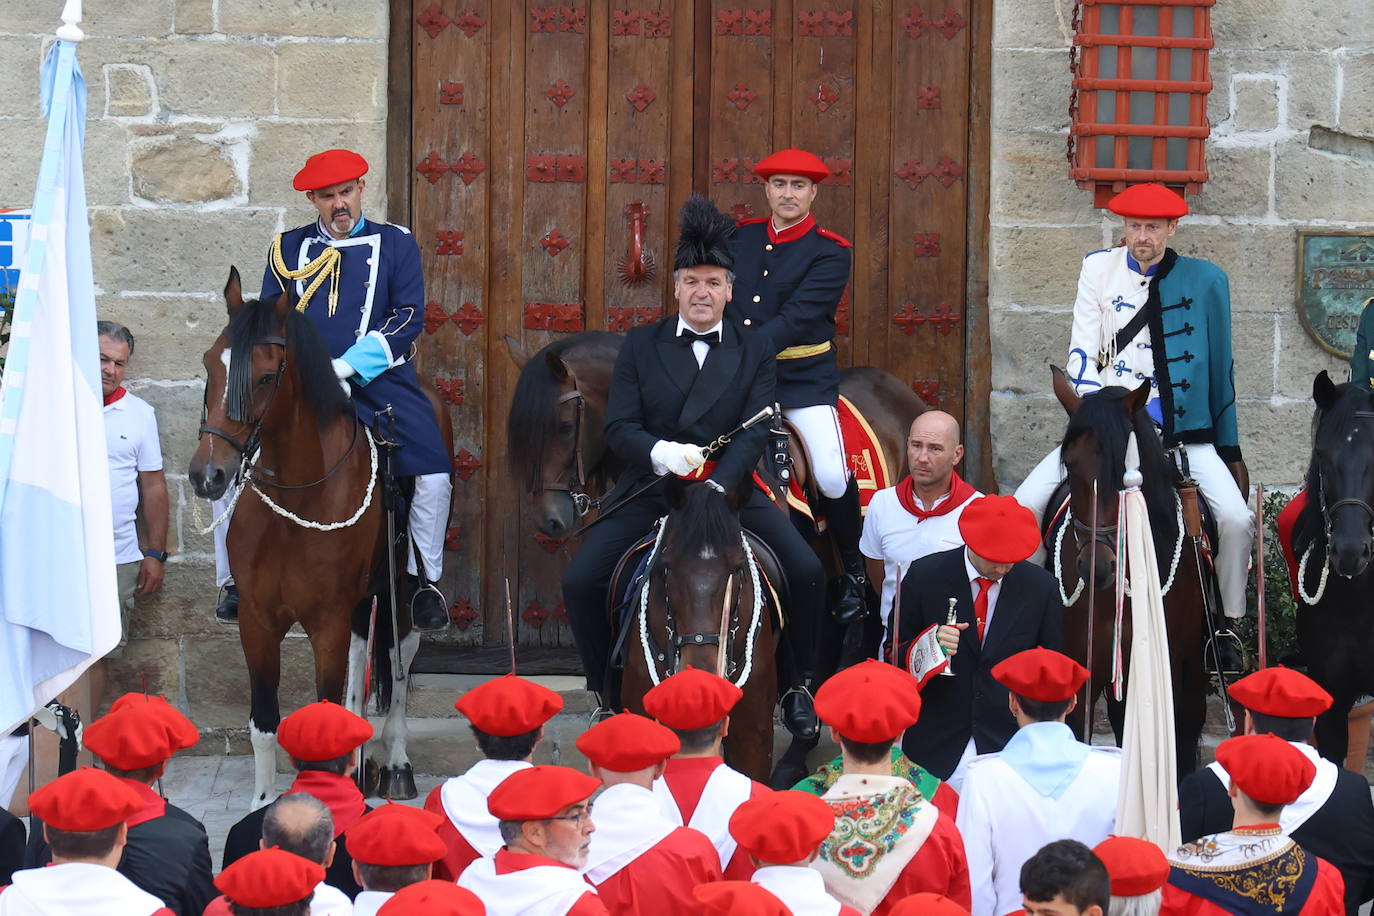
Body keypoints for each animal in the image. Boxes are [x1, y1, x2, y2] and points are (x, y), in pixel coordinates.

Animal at [182, 269, 447, 807]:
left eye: (266, 376)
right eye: (209, 365)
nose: (208, 476)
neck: (300, 496)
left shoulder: (327, 619)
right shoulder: (258, 620)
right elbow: (264, 723)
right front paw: (262, 805)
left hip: (401, 586)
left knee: (400, 654)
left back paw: (395, 761)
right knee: (364, 653)